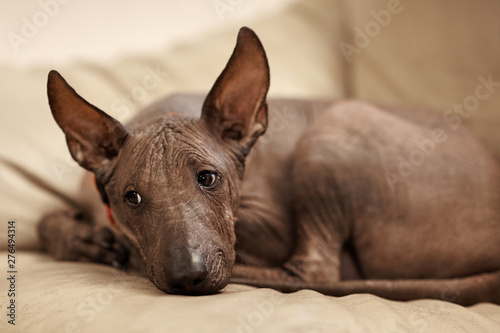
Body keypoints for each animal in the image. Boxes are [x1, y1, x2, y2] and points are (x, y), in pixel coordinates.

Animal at [38, 27, 500, 304]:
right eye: (131, 198)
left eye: (208, 178)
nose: (189, 277)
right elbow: (44, 222)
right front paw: (81, 238)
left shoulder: (273, 224)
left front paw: (108, 244)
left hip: (333, 131)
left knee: (314, 272)